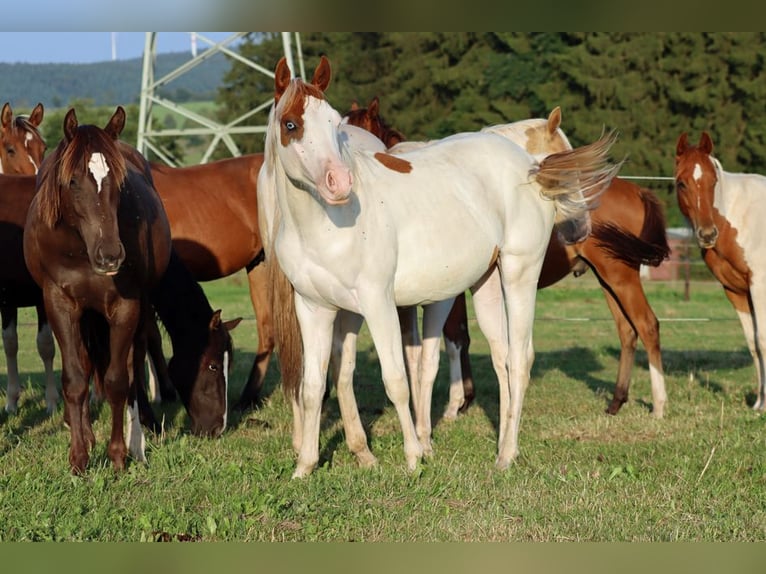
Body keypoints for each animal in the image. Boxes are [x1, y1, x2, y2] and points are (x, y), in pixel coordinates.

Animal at [263, 56, 620, 478]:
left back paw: (507, 454)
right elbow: (313, 386)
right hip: (485, 285)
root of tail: (530, 167)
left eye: (335, 123)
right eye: (291, 124)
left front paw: (414, 456)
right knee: (502, 358)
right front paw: (304, 467)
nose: (339, 183)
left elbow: (399, 377)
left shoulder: (380, 303)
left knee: (520, 358)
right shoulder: (314, 308)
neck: (324, 224)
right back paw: (501, 446)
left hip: (519, 275)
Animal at [345, 100, 670, 421]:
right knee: (628, 331)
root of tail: (638, 189)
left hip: (620, 276)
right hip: (607, 280)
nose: (581, 224)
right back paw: (617, 401)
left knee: (647, 325)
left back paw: (658, 404)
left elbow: (454, 338)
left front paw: (454, 404)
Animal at [674, 131, 766, 411]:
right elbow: (753, 344)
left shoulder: (760, 286)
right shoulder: (736, 291)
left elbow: (763, 339)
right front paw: (759, 404)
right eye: (681, 184)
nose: (707, 234)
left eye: (713, 181)